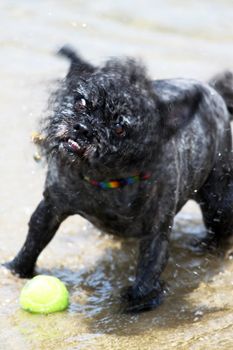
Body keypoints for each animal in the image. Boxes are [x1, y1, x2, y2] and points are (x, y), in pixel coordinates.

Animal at [4, 46, 233, 312]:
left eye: (120, 128)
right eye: (80, 102)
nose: (83, 128)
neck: (106, 180)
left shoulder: (156, 233)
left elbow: (148, 269)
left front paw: (139, 300)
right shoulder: (50, 208)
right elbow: (33, 243)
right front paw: (16, 269)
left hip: (218, 204)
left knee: (220, 230)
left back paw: (206, 247)